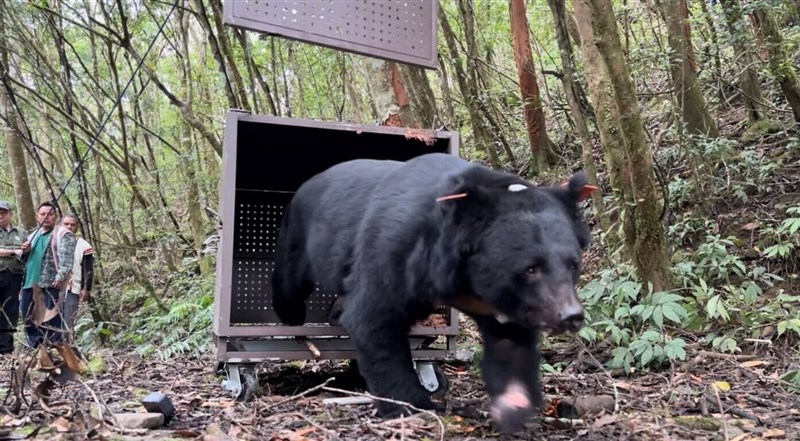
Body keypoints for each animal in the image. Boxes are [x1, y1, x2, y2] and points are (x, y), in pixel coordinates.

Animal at [272, 152, 596, 434]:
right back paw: (291, 317)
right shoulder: (395, 250)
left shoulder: (507, 302)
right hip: (299, 235)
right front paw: (412, 405)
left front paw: (513, 405)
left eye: (572, 264)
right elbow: (374, 318)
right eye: (531, 268)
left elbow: (510, 344)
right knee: (290, 281)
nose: (571, 316)